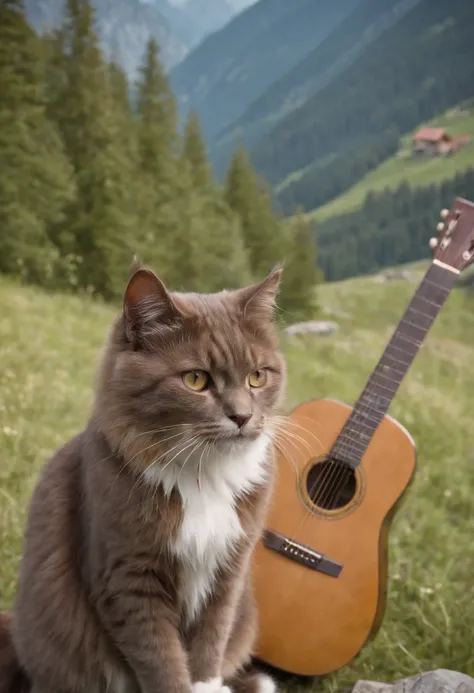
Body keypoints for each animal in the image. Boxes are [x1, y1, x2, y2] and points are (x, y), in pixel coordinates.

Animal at [0, 264, 286, 692]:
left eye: (257, 377)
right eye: (196, 379)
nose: (242, 416)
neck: (203, 474)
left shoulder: (229, 569)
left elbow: (211, 640)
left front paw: (208, 685)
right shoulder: (129, 578)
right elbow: (161, 660)